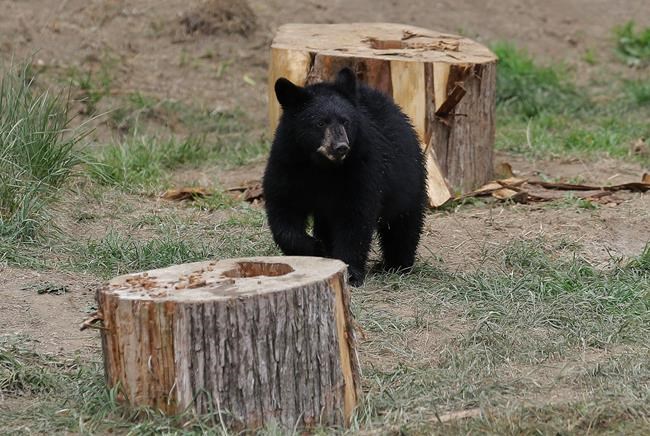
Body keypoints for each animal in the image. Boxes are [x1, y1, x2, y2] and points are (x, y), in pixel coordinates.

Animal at [263, 67, 427, 286]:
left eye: (345, 121)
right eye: (320, 122)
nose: (340, 146)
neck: (321, 166)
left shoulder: (362, 166)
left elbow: (355, 217)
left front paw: (350, 272)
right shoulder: (287, 162)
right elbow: (283, 209)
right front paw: (315, 249)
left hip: (407, 178)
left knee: (403, 223)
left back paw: (396, 265)